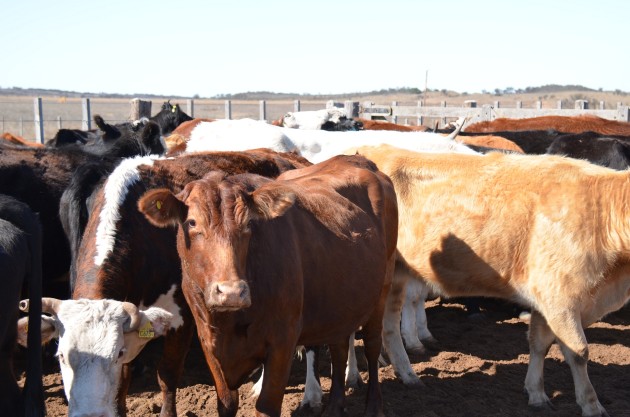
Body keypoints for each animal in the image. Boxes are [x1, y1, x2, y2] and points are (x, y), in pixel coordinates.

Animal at [141, 154, 400, 416]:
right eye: (192, 222)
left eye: (248, 224)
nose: (231, 293)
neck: (229, 323)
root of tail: (358, 160)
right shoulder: (208, 342)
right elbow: (226, 403)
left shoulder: (283, 340)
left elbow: (266, 406)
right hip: (340, 304)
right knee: (338, 347)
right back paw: (334, 407)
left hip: (382, 288)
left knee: (372, 345)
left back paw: (373, 406)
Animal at [350, 144, 630, 416]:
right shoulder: (560, 299)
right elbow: (578, 352)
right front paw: (592, 405)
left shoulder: (547, 298)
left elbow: (539, 344)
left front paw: (536, 394)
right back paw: (353, 377)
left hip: (396, 275)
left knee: (388, 327)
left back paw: (407, 375)